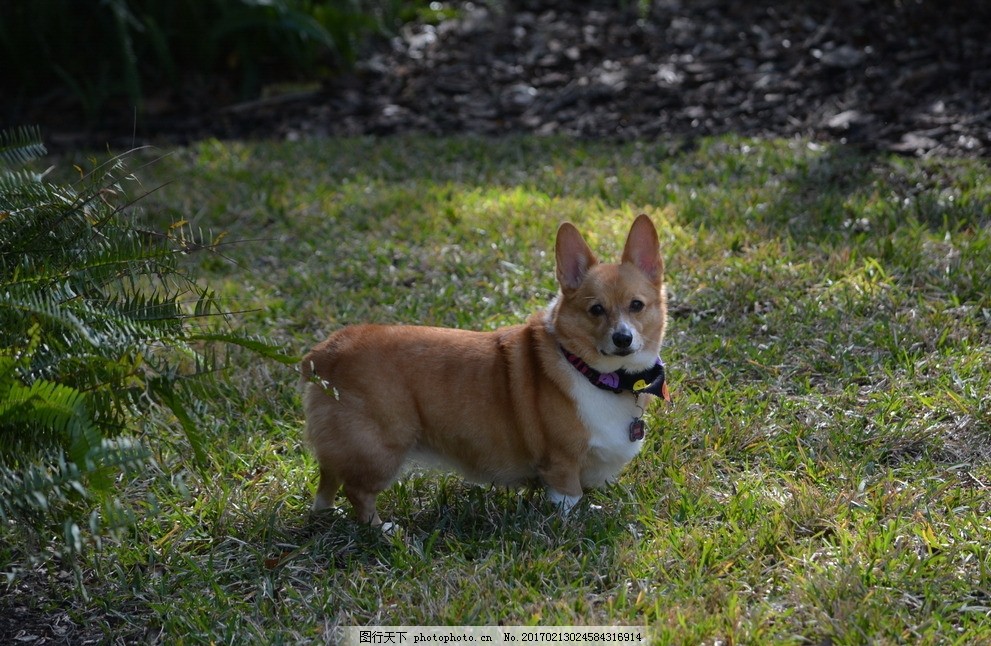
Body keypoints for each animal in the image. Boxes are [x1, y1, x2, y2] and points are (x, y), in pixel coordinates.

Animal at [302, 215, 672, 528]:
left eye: (637, 305)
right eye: (596, 310)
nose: (623, 338)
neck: (595, 374)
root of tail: (325, 352)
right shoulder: (561, 464)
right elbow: (569, 499)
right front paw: (572, 524)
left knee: (328, 478)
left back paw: (328, 512)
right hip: (381, 448)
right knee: (357, 491)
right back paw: (382, 529)